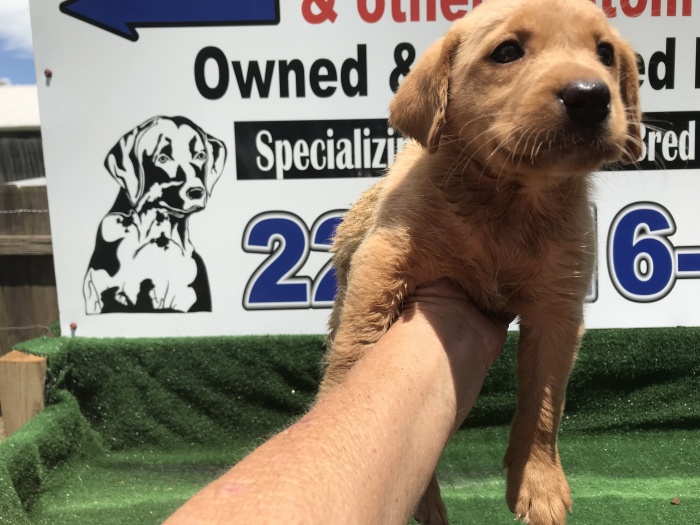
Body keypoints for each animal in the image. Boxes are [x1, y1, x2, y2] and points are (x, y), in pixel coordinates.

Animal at [319, 0, 641, 523]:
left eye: (606, 53)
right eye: (507, 52)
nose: (591, 96)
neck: (506, 203)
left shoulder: (559, 306)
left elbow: (545, 401)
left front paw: (539, 482)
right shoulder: (382, 259)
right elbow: (353, 351)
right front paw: (338, 423)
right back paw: (427, 502)